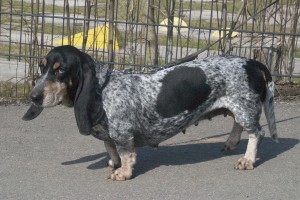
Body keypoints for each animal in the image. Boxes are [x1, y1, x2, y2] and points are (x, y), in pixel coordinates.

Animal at [23, 44, 278, 180]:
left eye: (61, 70)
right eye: (42, 67)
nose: (33, 97)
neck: (103, 87)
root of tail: (254, 63)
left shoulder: (123, 135)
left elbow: (126, 154)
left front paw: (123, 172)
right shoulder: (110, 134)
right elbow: (110, 147)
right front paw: (113, 163)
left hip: (245, 107)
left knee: (257, 133)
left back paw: (247, 159)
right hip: (239, 107)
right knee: (239, 125)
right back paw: (231, 143)